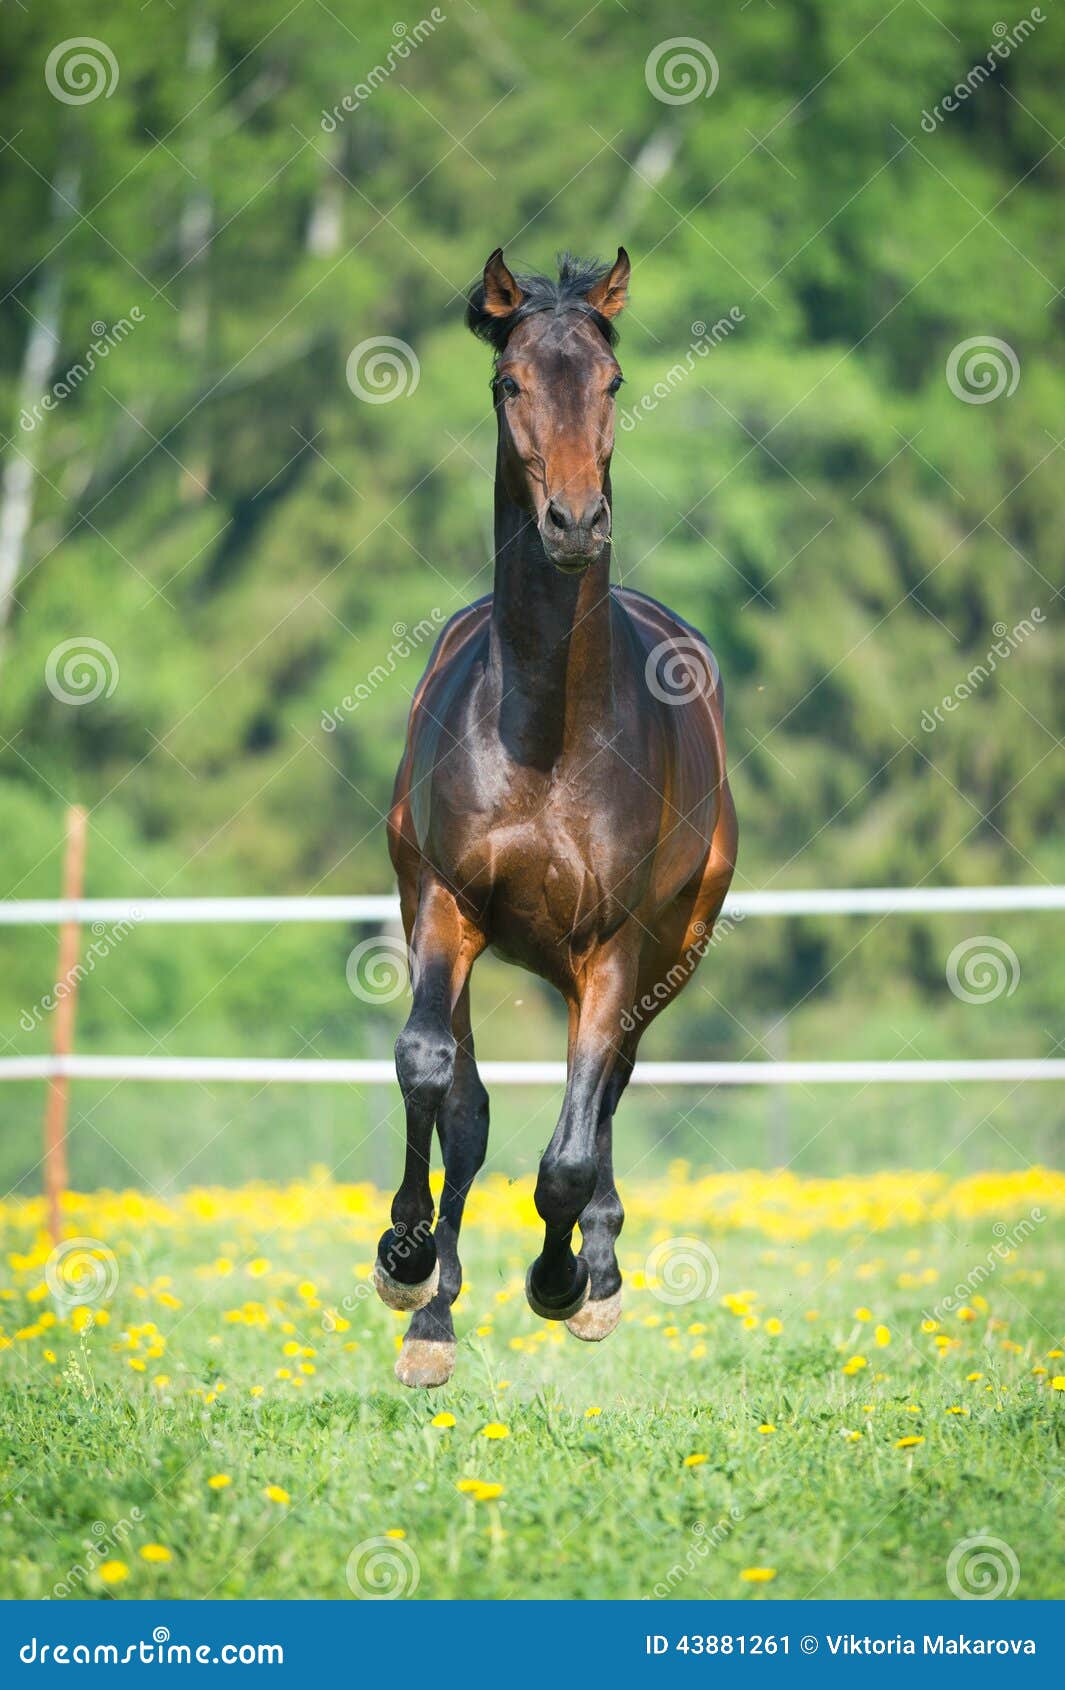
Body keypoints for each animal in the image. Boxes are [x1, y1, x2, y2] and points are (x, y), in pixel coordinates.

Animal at [376, 247, 737, 1387]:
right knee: (471, 1103)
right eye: (510, 383)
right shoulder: (446, 904)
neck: (546, 730)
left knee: (610, 1081)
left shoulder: (616, 940)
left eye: (612, 382)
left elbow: (572, 1147)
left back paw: (596, 1275)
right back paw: (433, 1306)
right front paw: (408, 1269)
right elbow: (436, 1077)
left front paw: (562, 1279)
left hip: (675, 944)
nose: (576, 524)